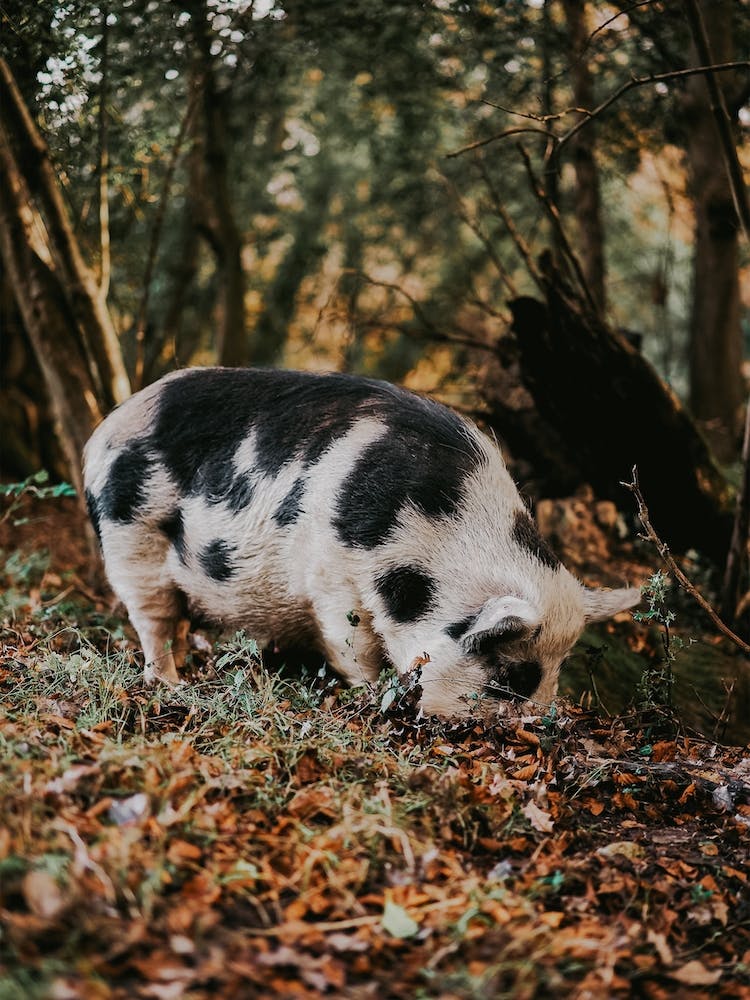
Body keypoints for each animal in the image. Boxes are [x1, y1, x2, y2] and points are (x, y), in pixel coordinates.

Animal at [83, 367, 640, 717]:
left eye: (557, 670)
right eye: (514, 676)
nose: (539, 728)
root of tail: (103, 429)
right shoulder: (333, 578)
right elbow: (355, 644)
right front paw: (372, 697)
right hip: (130, 538)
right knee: (152, 621)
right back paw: (171, 684)